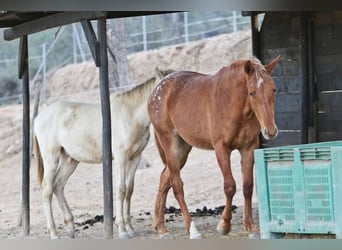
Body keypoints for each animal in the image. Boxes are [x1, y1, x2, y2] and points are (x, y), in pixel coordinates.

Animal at [33, 68, 172, 238]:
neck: (131, 115)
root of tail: (38, 117)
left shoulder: (135, 157)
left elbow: (129, 190)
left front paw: (130, 228)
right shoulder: (120, 158)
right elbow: (121, 189)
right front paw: (122, 230)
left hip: (70, 160)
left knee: (58, 185)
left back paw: (70, 228)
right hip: (51, 158)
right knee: (47, 190)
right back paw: (53, 233)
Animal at [148, 55, 280, 239]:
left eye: (273, 90)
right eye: (252, 92)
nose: (271, 131)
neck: (233, 104)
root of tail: (157, 90)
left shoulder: (248, 148)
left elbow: (247, 186)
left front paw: (251, 227)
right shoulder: (221, 148)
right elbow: (230, 186)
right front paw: (224, 225)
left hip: (182, 149)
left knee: (164, 179)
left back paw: (161, 228)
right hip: (171, 145)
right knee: (177, 185)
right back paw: (192, 229)